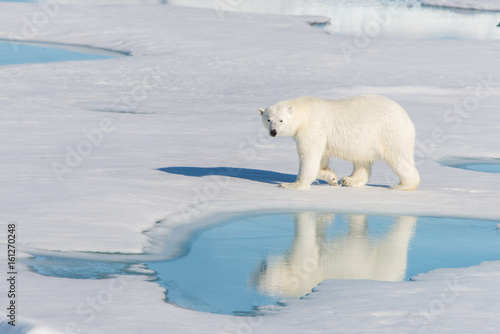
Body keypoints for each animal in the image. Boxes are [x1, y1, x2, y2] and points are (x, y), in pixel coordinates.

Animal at [260, 95, 420, 192]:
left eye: (281, 120)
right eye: (268, 119)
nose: (273, 132)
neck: (305, 111)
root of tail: (407, 117)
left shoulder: (312, 128)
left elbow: (309, 156)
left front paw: (291, 184)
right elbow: (321, 158)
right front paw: (331, 178)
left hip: (390, 133)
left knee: (399, 158)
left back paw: (402, 185)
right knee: (361, 160)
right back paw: (350, 180)